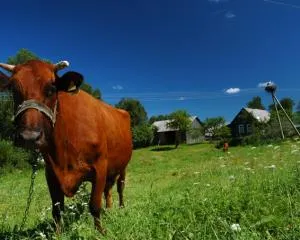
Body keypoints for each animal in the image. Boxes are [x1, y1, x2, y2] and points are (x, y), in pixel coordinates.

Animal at [0, 60, 132, 234]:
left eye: (51, 89)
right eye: (14, 89)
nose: (29, 136)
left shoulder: (100, 166)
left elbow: (94, 205)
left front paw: (101, 232)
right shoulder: (51, 172)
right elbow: (57, 210)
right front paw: (57, 234)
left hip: (123, 166)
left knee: (120, 187)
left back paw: (121, 208)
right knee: (108, 190)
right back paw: (109, 210)